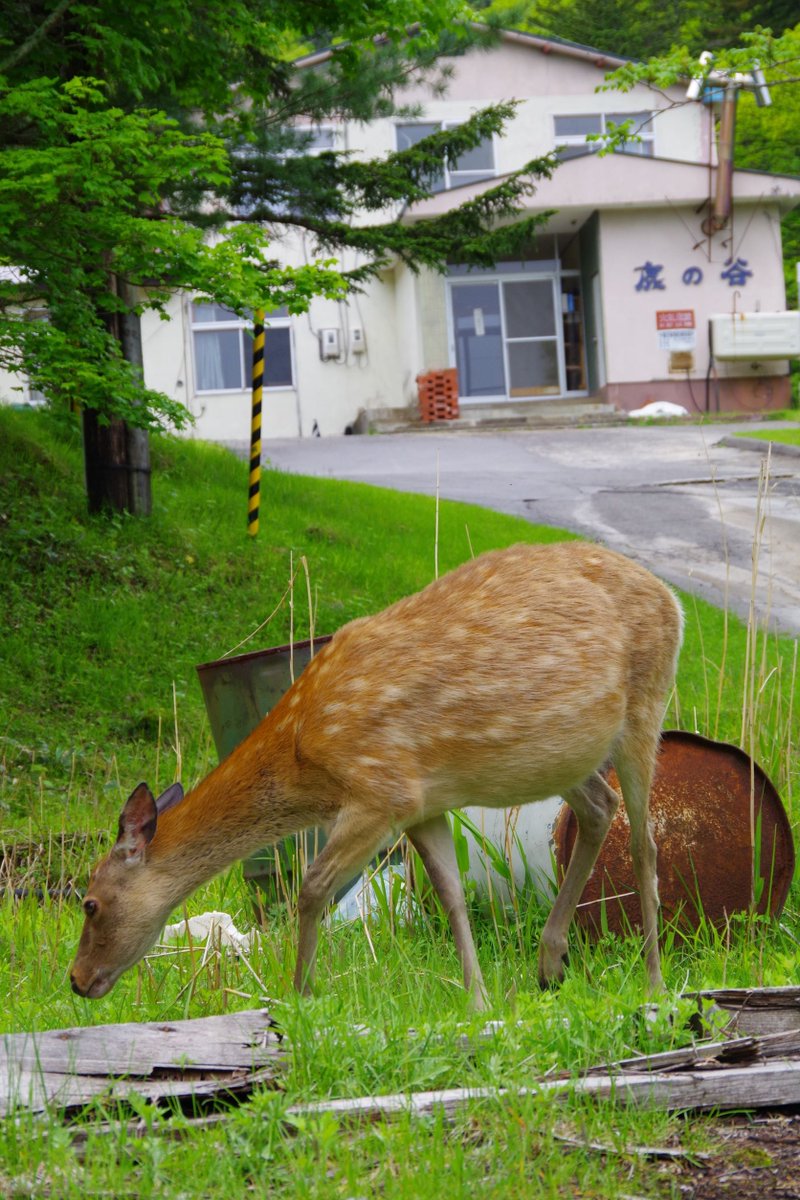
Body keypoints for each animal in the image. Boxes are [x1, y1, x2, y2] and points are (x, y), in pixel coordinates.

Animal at [70, 541, 683, 1009]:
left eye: (90, 902)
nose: (75, 980)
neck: (306, 755)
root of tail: (674, 601)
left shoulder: (379, 792)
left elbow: (312, 889)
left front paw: (300, 995)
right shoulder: (423, 804)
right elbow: (450, 894)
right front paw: (478, 1000)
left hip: (646, 706)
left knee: (645, 842)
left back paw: (654, 982)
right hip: (561, 758)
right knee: (598, 807)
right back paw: (550, 963)